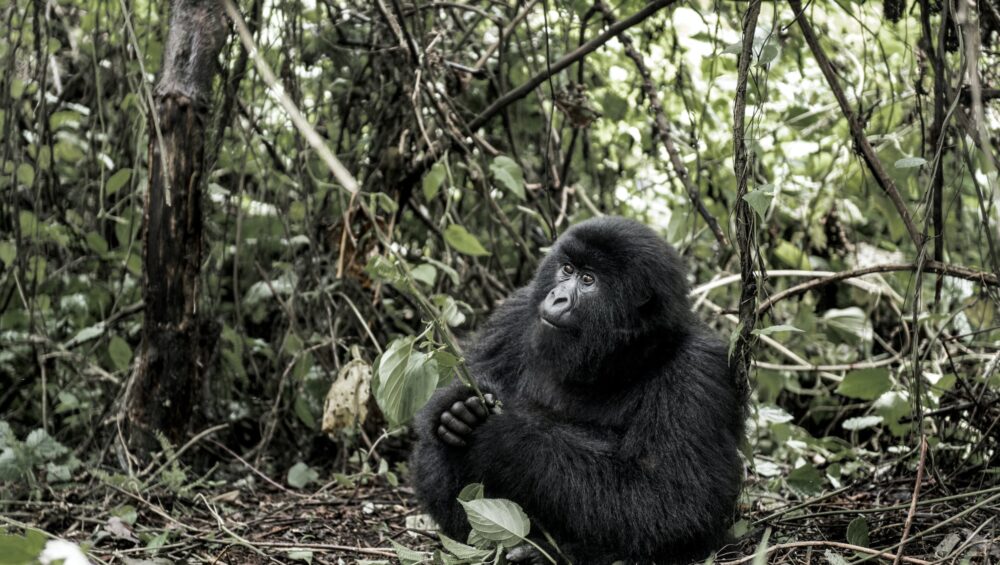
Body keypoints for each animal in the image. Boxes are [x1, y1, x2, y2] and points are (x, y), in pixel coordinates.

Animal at [410, 217, 748, 564]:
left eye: (588, 280)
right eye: (567, 269)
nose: (557, 296)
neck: (624, 356)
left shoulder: (697, 370)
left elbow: (674, 502)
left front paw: (504, 435)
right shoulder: (514, 314)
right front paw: (457, 409)